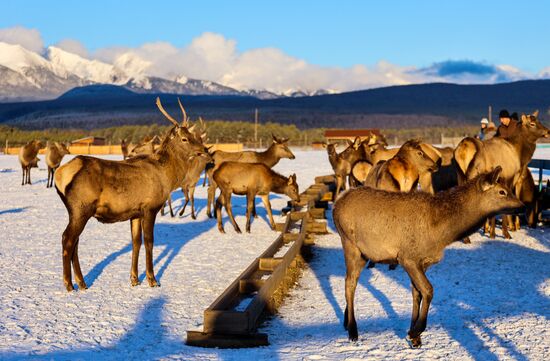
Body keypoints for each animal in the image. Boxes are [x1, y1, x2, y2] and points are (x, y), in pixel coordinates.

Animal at [334, 166, 524, 346]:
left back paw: (345, 322)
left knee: (353, 280)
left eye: (508, 189)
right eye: (502, 191)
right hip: (349, 243)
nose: (523, 206)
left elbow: (417, 293)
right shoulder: (407, 258)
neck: (441, 234)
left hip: (364, 254)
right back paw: (353, 330)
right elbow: (428, 290)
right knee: (350, 283)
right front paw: (415, 331)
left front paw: (415, 337)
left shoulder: (423, 262)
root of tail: (337, 203)